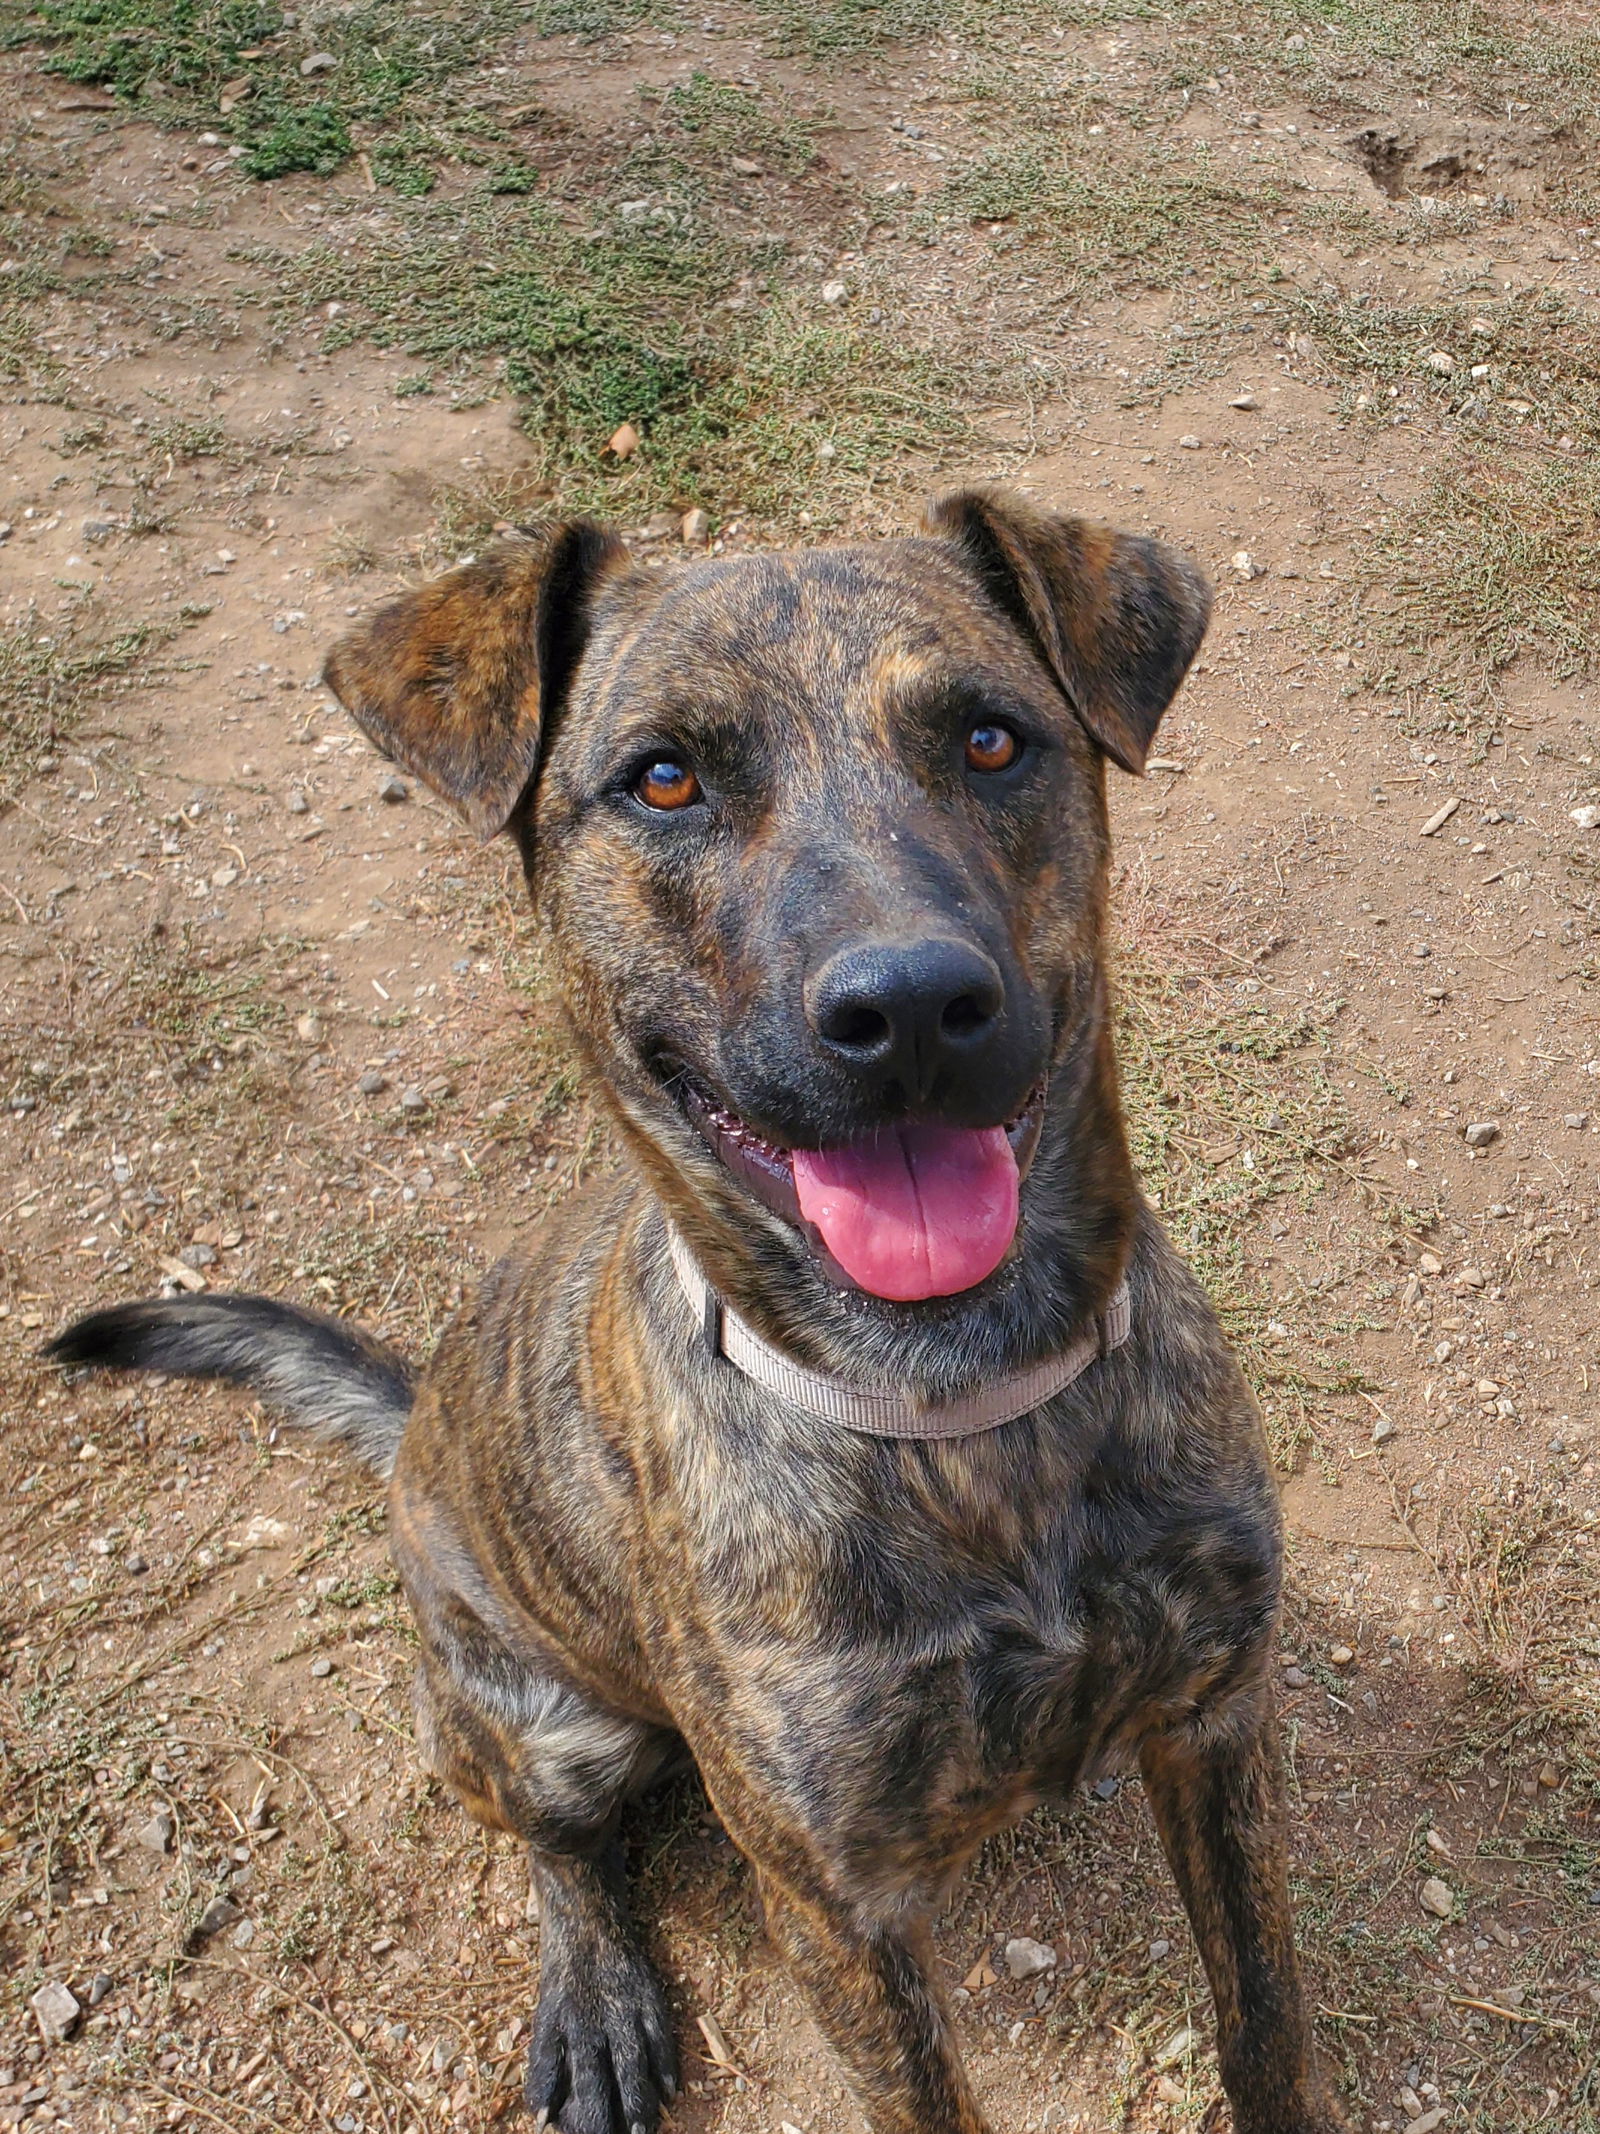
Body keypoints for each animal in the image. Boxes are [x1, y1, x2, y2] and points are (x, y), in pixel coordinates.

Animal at [50, 490, 1348, 2134]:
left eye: (991, 740)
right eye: (663, 778)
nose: (909, 1008)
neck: (961, 1408)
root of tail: (414, 1424)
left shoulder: (1220, 1724)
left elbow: (1266, 2018)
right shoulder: (839, 1908)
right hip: (536, 1721)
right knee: (557, 1845)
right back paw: (595, 1996)